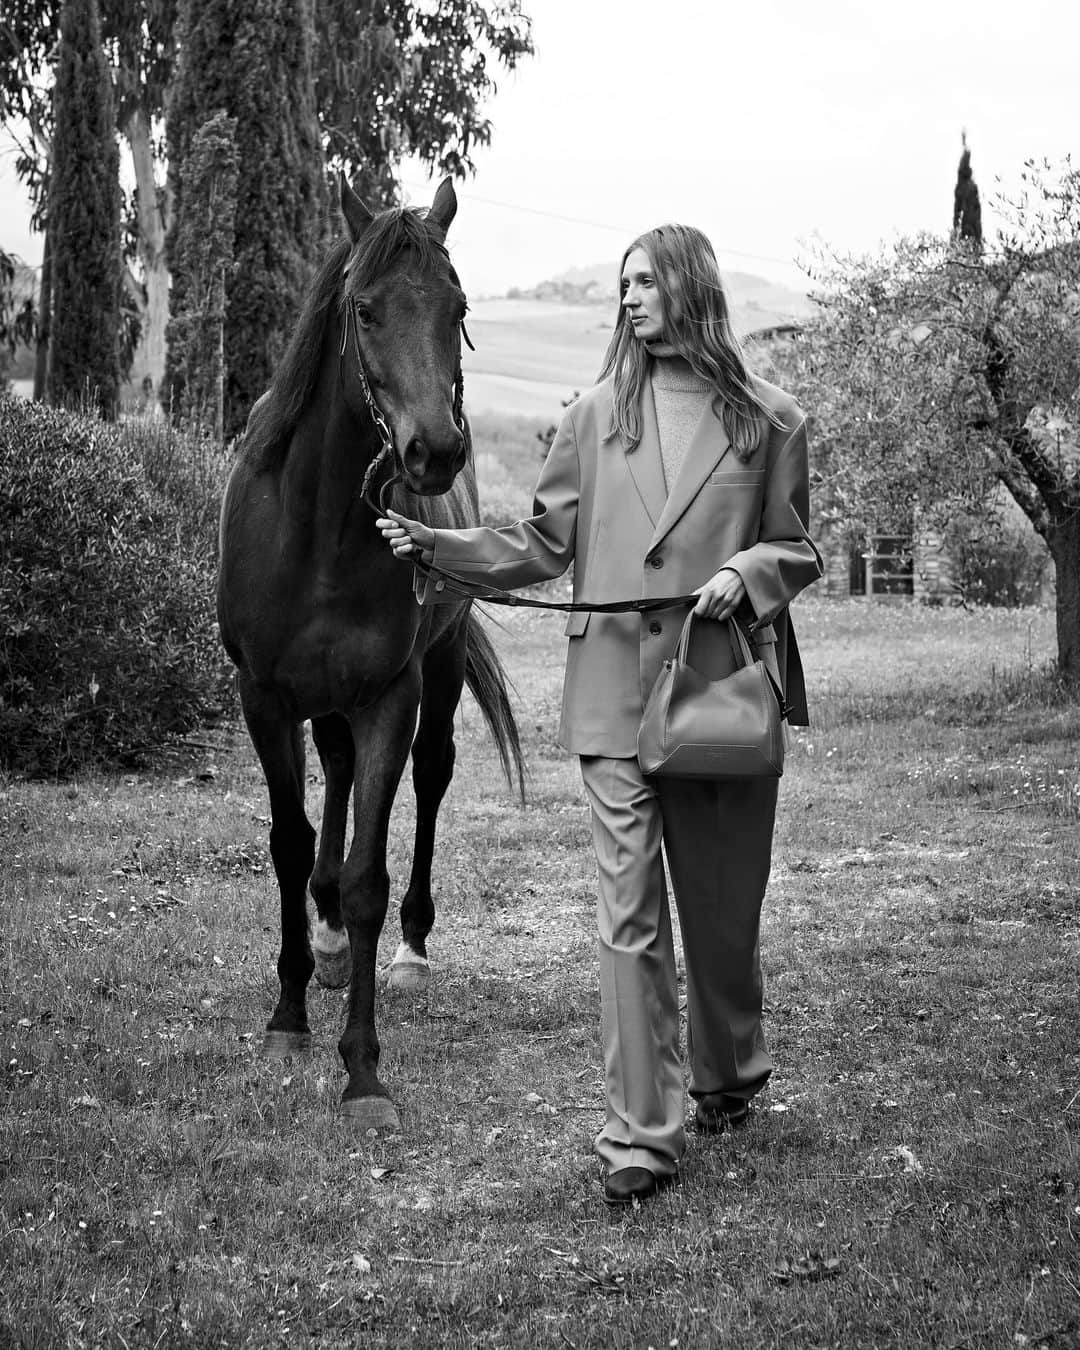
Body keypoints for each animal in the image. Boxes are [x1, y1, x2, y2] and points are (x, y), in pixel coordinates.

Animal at [214, 176, 523, 1128]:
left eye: (458, 308)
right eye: (365, 309)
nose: (434, 452)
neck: (317, 529)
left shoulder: (390, 693)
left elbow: (367, 880)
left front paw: (363, 1072)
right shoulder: (265, 697)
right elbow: (289, 840)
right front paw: (287, 1017)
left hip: (439, 667)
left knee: (429, 775)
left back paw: (409, 949)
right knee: (337, 774)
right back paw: (319, 940)